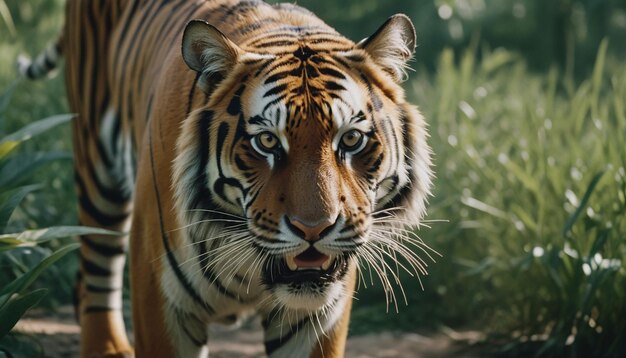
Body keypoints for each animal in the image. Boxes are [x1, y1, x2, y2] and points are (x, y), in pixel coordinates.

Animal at [18, 0, 428, 358]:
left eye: (351, 139)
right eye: (267, 141)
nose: (314, 229)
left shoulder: (317, 317)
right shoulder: (161, 302)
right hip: (96, 164)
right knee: (97, 267)